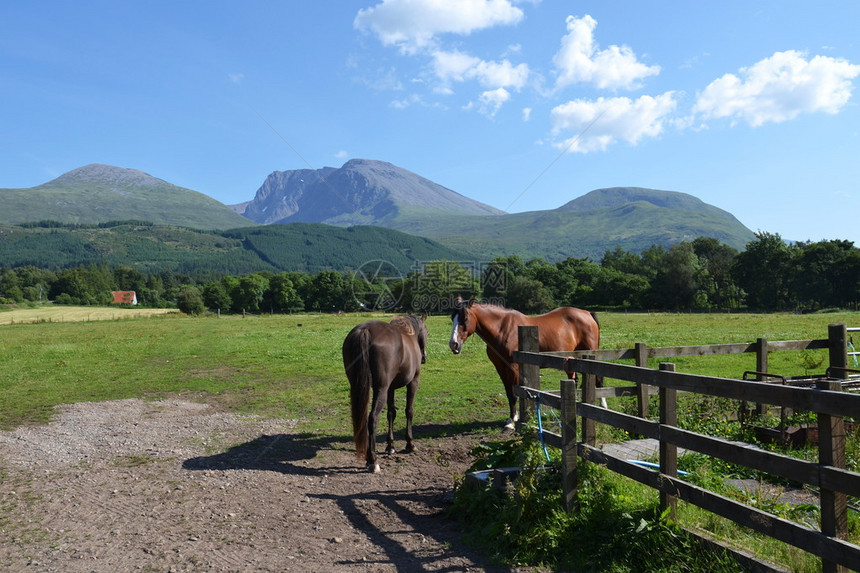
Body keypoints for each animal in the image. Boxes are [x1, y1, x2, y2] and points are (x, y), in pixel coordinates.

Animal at [344, 316, 428, 472]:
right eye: (427, 332)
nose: (424, 357)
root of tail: (364, 330)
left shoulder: (391, 388)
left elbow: (391, 413)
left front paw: (390, 446)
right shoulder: (413, 382)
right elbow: (409, 411)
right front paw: (410, 444)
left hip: (360, 387)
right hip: (381, 390)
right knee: (372, 418)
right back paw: (373, 461)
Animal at [450, 298, 596, 426]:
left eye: (465, 318)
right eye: (452, 318)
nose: (453, 344)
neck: (503, 330)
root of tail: (587, 314)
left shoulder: (513, 368)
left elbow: (515, 393)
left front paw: (514, 421)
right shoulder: (501, 368)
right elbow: (509, 393)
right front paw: (511, 419)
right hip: (570, 360)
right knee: (574, 379)